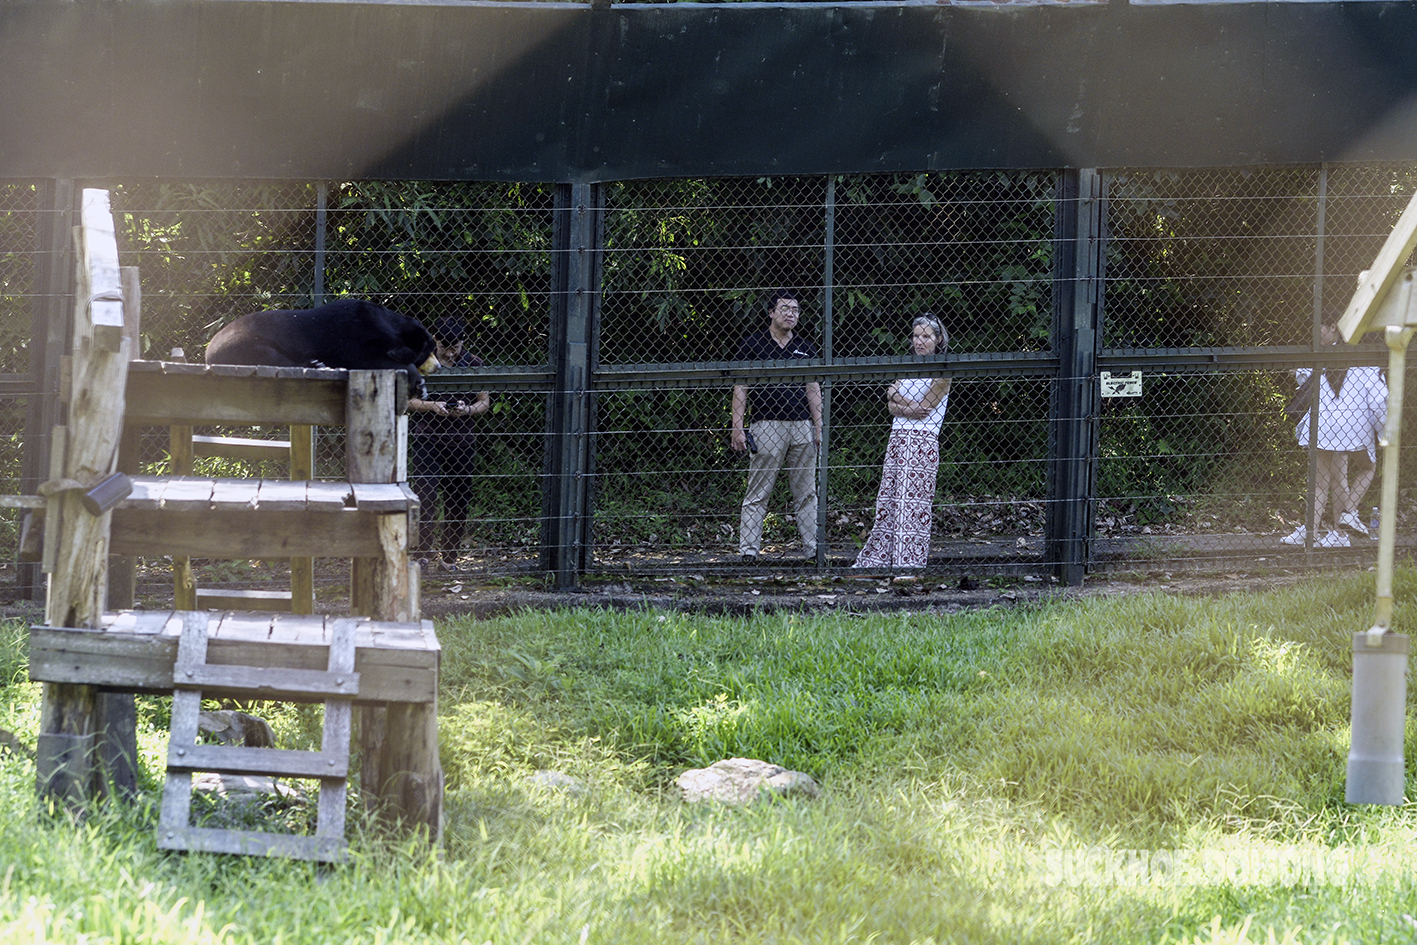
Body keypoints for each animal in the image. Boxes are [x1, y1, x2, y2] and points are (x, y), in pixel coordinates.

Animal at [202, 298, 439, 396]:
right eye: (430, 351)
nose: (438, 367)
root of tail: (208, 350)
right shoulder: (354, 333)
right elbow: (366, 358)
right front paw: (419, 383)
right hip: (244, 343)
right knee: (272, 357)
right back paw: (318, 365)